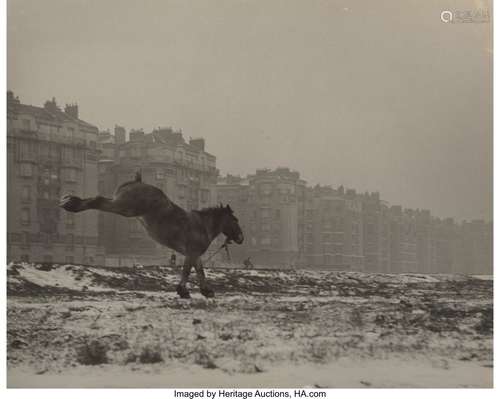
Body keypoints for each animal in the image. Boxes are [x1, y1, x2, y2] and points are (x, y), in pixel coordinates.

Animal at [59, 170, 244, 298]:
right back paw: (71, 204)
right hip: (124, 207)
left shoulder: (194, 253)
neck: (201, 225)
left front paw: (205, 291)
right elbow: (187, 271)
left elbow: (199, 270)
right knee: (98, 200)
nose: (241, 238)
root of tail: (136, 181)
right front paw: (183, 291)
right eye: (235, 220)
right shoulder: (191, 252)